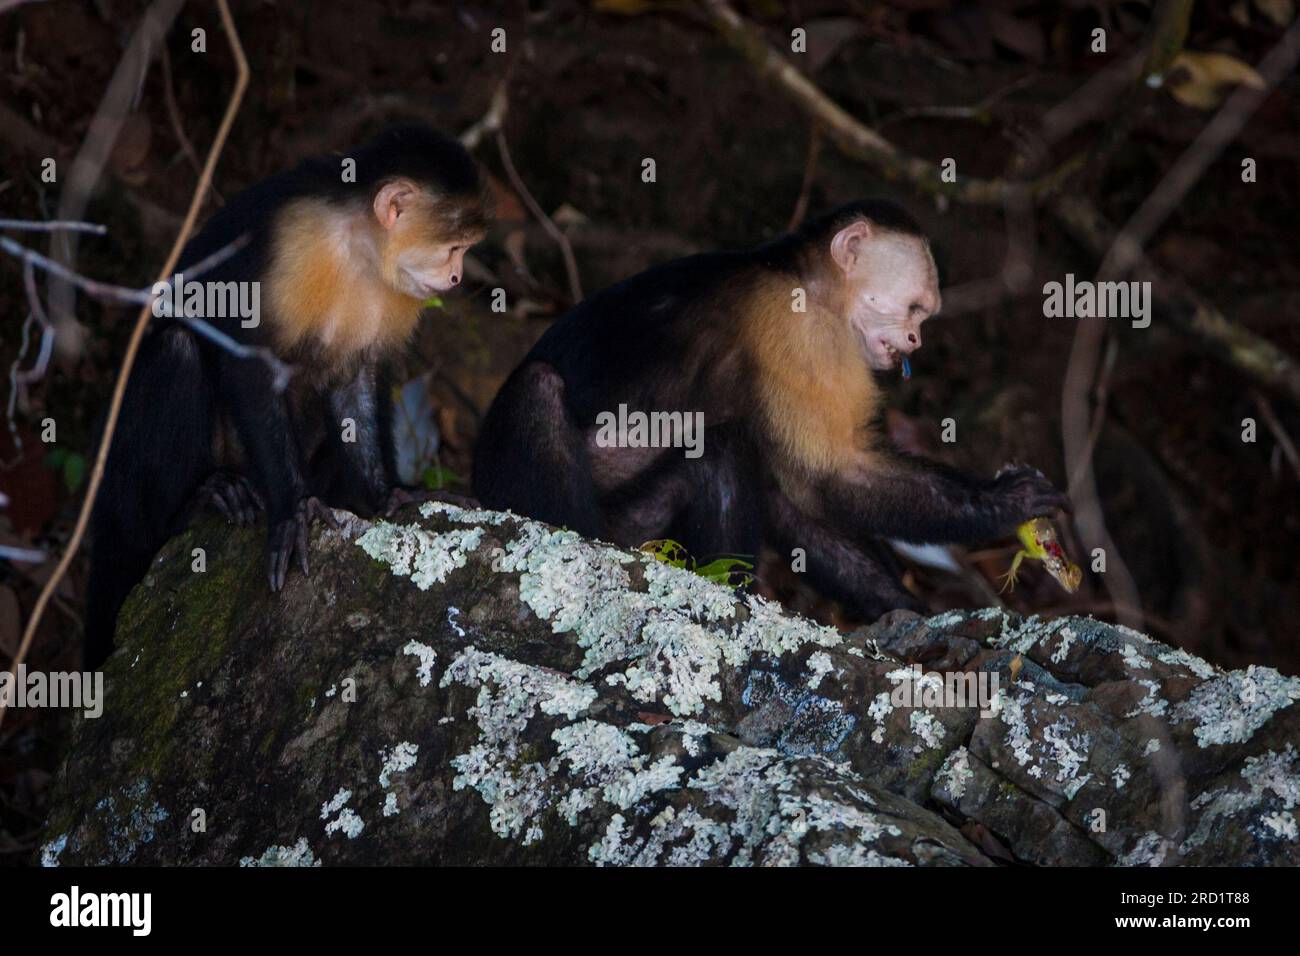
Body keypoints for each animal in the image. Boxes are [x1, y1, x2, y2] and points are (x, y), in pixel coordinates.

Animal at [85, 125, 491, 665]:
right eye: (454, 247)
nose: (457, 277)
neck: (359, 247)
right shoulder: (296, 237)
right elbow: (253, 362)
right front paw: (294, 507)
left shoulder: (392, 293)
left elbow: (355, 382)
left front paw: (389, 495)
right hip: (125, 486)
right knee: (177, 350)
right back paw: (190, 505)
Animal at [475, 201, 1066, 621]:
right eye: (917, 308)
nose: (917, 340)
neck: (803, 279)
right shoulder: (804, 332)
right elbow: (837, 471)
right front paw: (1000, 504)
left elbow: (802, 493)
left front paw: (906, 608)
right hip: (550, 500)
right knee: (547, 389)